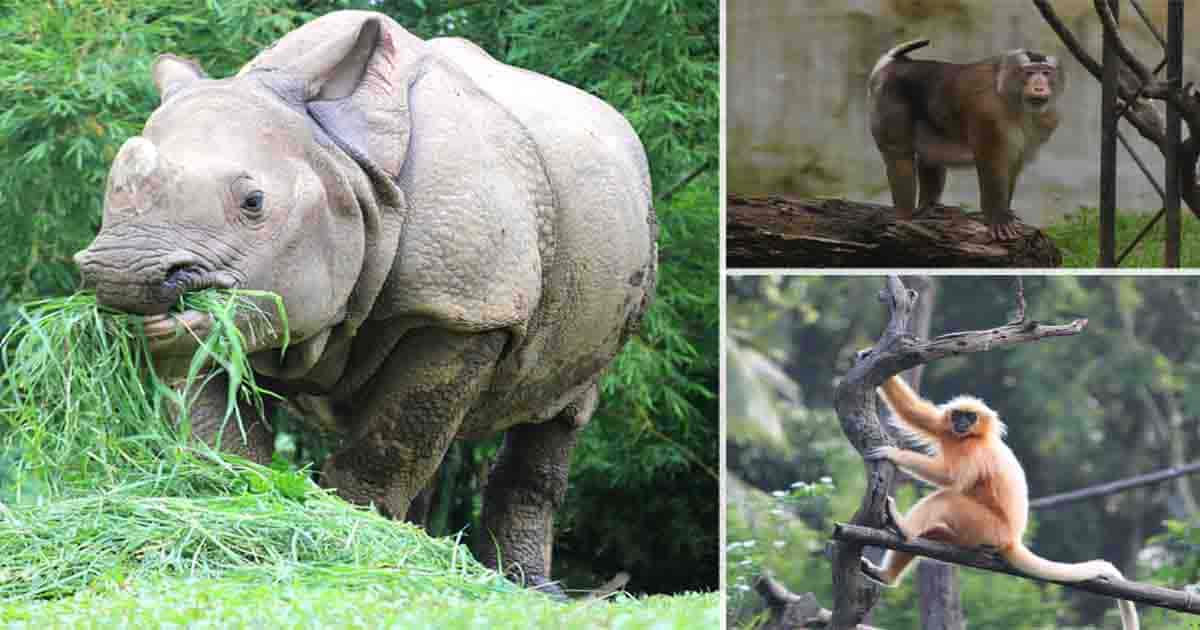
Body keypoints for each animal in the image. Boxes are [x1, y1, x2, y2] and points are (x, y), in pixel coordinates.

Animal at [864, 376, 1132, 624]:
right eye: (958, 415)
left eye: (970, 417)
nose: (961, 423)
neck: (968, 437)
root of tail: (1012, 539)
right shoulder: (946, 429)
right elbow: (913, 411)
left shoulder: (974, 449)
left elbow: (950, 478)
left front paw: (895, 454)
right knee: (934, 530)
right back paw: (887, 575)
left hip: (988, 528)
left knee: (946, 499)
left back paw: (904, 528)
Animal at [868, 39, 1065, 241]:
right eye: (1030, 73)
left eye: (1045, 72)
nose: (1040, 87)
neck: (1011, 98)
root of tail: (894, 64)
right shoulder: (988, 113)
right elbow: (991, 161)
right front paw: (998, 217)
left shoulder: (1044, 122)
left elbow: (1013, 162)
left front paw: (1006, 211)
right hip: (888, 101)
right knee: (899, 156)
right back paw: (904, 215)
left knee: (931, 154)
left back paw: (929, 207)